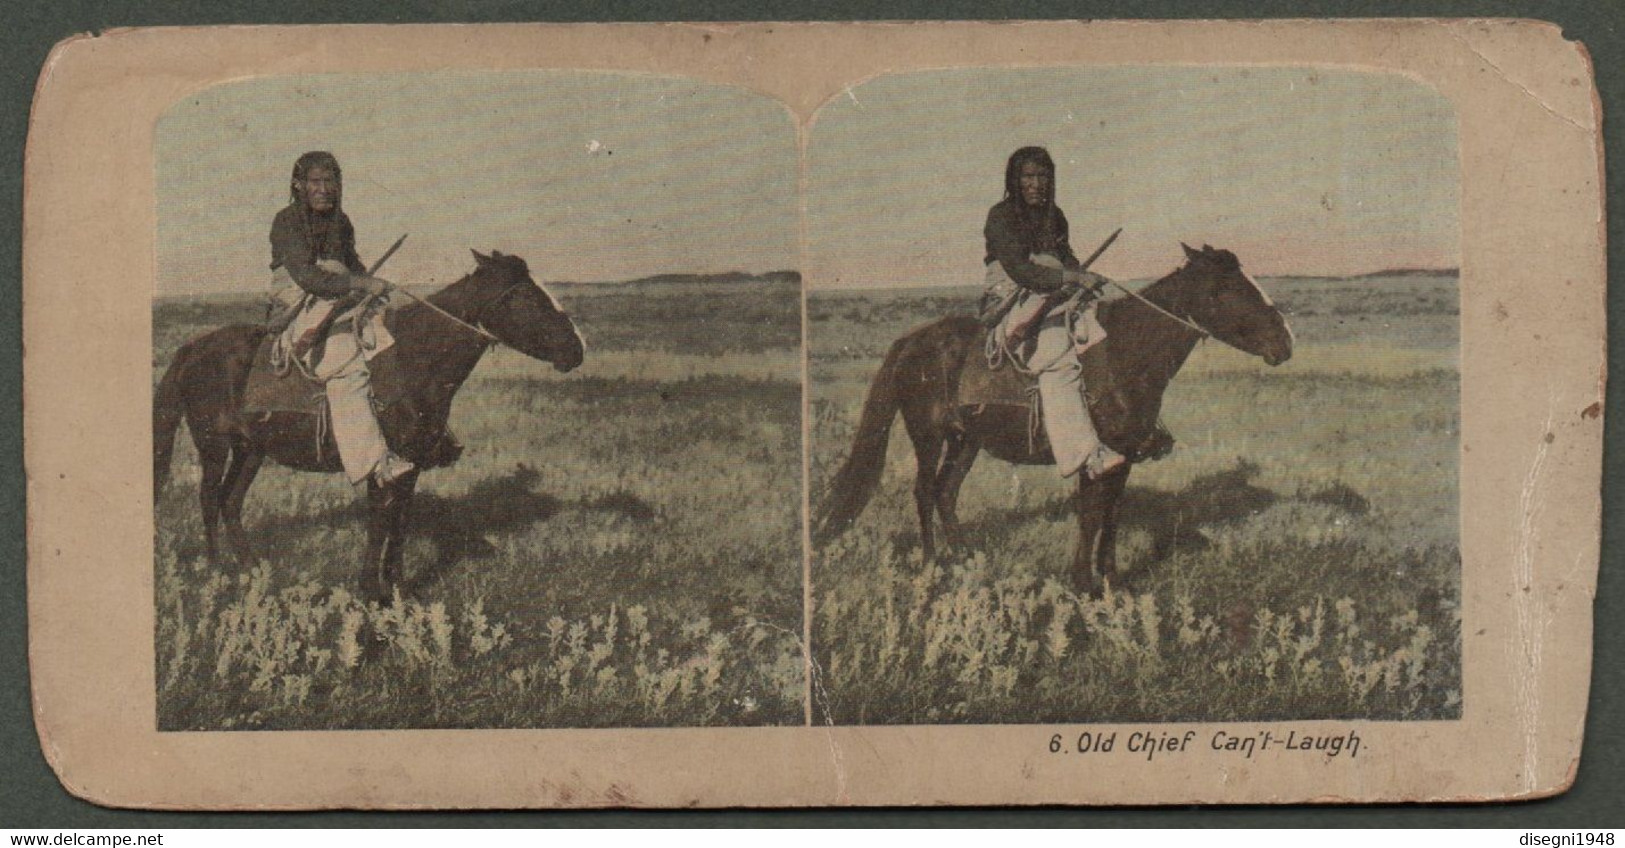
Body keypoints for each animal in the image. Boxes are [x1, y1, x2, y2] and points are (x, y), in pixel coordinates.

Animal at [152, 248, 585, 601]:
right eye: (527, 296)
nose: (577, 349)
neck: (414, 359)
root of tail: (193, 348)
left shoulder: (410, 465)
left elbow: (400, 522)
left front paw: (397, 589)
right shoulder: (382, 463)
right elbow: (380, 521)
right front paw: (371, 590)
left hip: (251, 450)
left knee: (230, 501)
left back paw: (252, 570)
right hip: (213, 444)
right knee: (209, 498)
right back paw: (217, 570)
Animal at [812, 240, 1293, 591]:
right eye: (1228, 289)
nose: (1285, 342)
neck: (1125, 353)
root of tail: (912, 340)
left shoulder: (1123, 456)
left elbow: (1112, 515)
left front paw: (1112, 580)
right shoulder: (1094, 456)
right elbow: (1090, 515)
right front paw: (1083, 583)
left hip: (966, 440)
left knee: (947, 492)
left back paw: (966, 557)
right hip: (927, 436)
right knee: (925, 491)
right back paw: (932, 566)